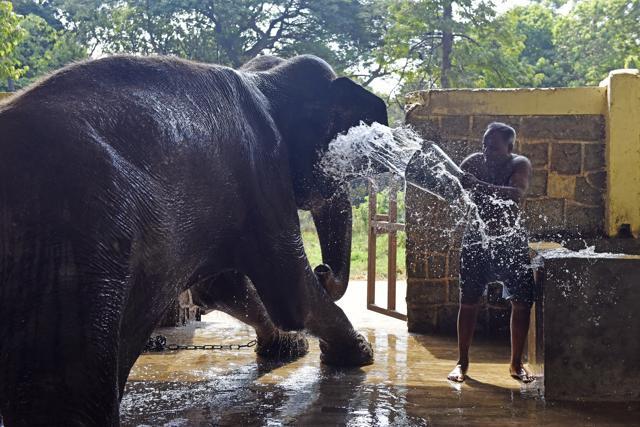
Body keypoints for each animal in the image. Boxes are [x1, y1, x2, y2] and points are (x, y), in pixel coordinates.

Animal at [0, 53, 387, 426]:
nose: (325, 270)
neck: (264, 78)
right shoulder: (262, 172)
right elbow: (292, 292)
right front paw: (357, 355)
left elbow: (222, 287)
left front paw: (287, 348)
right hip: (75, 236)